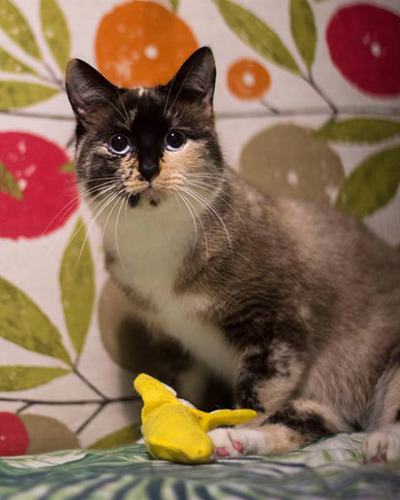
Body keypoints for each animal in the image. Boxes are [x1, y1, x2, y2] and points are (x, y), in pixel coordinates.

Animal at [65, 47, 400, 464]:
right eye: (118, 142)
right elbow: (182, 392)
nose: (148, 168)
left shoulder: (275, 325)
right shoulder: (179, 344)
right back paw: (232, 442)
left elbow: (257, 399)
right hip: (326, 401)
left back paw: (381, 444)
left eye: (175, 139)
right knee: (306, 420)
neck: (157, 238)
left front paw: (227, 427)